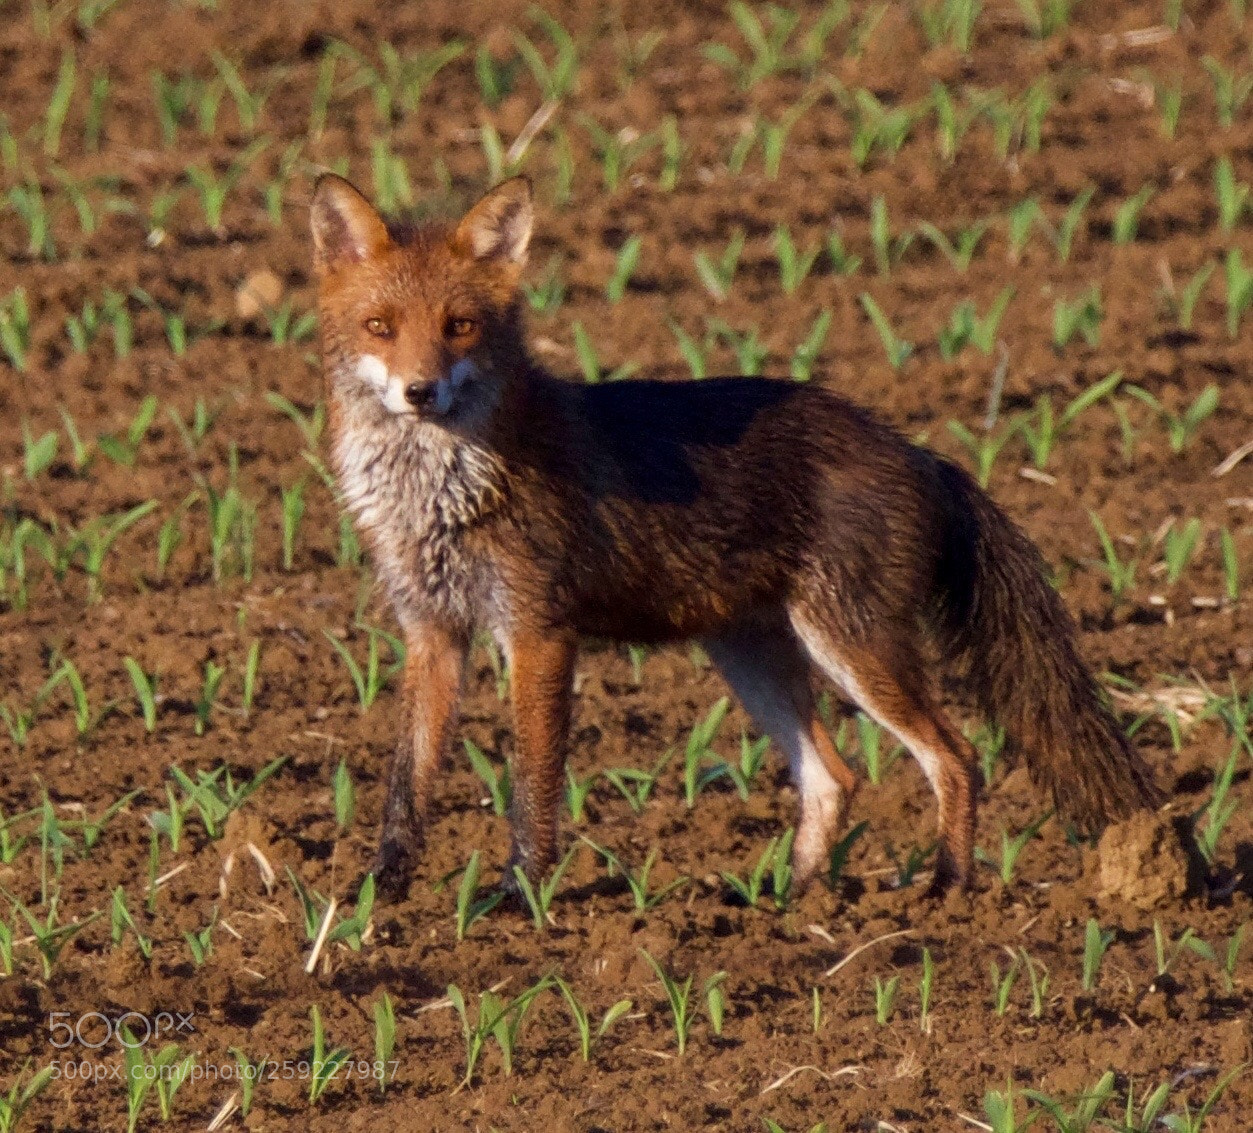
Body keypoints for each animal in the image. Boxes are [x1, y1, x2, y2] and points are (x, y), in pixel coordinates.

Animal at [309, 173, 1161, 901]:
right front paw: (378, 892)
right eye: (379, 327)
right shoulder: (432, 631)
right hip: (752, 654)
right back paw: (789, 900)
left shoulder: (538, 630)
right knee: (833, 777)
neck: (442, 494)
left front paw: (522, 894)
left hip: (851, 647)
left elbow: (532, 784)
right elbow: (405, 782)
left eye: (459, 327)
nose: (420, 392)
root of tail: (915, 448)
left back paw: (944, 889)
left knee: (954, 756)